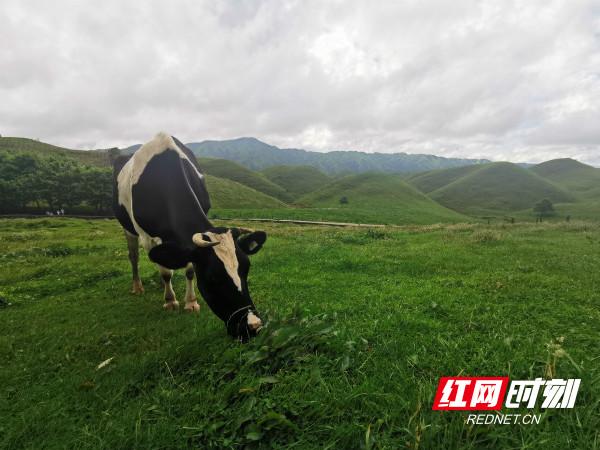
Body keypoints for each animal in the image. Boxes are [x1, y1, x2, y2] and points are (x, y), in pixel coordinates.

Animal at [113, 134, 268, 342]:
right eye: (212, 278)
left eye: (246, 269)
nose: (253, 326)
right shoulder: (148, 238)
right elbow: (166, 273)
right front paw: (170, 301)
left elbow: (189, 270)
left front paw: (191, 302)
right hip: (127, 228)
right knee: (134, 257)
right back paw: (137, 287)